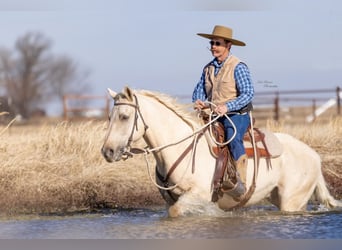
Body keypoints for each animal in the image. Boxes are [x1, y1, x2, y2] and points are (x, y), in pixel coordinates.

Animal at [102, 86, 342, 217]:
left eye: (124, 116)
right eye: (110, 116)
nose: (107, 151)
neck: (178, 147)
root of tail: (314, 155)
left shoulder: (197, 195)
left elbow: (177, 212)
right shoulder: (171, 199)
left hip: (292, 201)